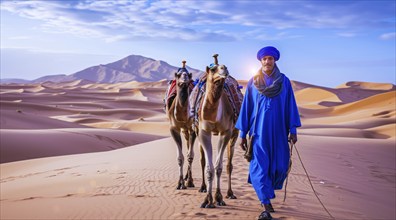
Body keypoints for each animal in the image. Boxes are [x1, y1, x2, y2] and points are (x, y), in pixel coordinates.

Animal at [197, 54, 240, 208]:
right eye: (212, 69)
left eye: (224, 66)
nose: (224, 69)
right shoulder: (203, 132)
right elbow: (209, 167)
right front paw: (207, 200)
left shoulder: (225, 132)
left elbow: (218, 167)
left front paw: (218, 197)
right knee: (203, 161)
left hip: (234, 133)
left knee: (229, 165)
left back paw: (230, 193)